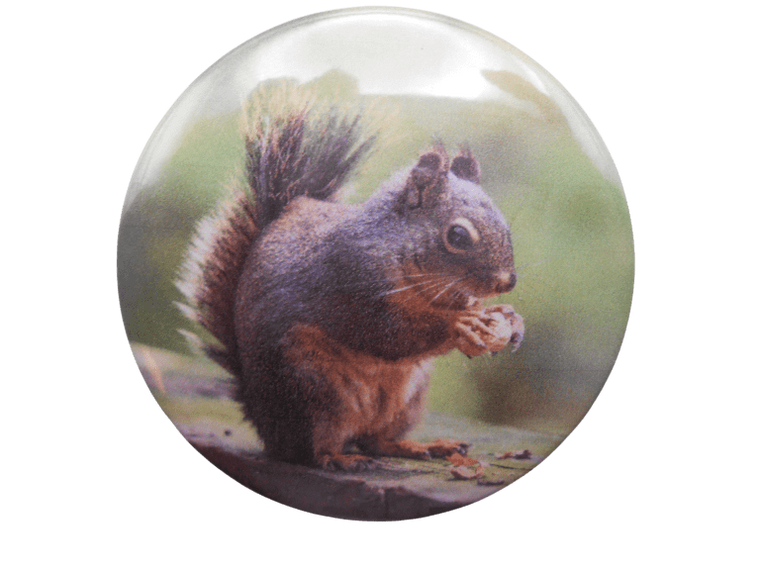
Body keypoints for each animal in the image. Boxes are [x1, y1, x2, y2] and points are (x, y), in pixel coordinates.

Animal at [176, 107, 525, 471]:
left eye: (504, 224)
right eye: (457, 236)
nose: (507, 281)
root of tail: (264, 425)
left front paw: (509, 318)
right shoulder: (349, 279)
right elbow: (386, 332)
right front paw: (459, 323)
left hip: (406, 398)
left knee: (376, 441)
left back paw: (420, 446)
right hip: (312, 391)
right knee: (313, 451)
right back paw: (340, 458)